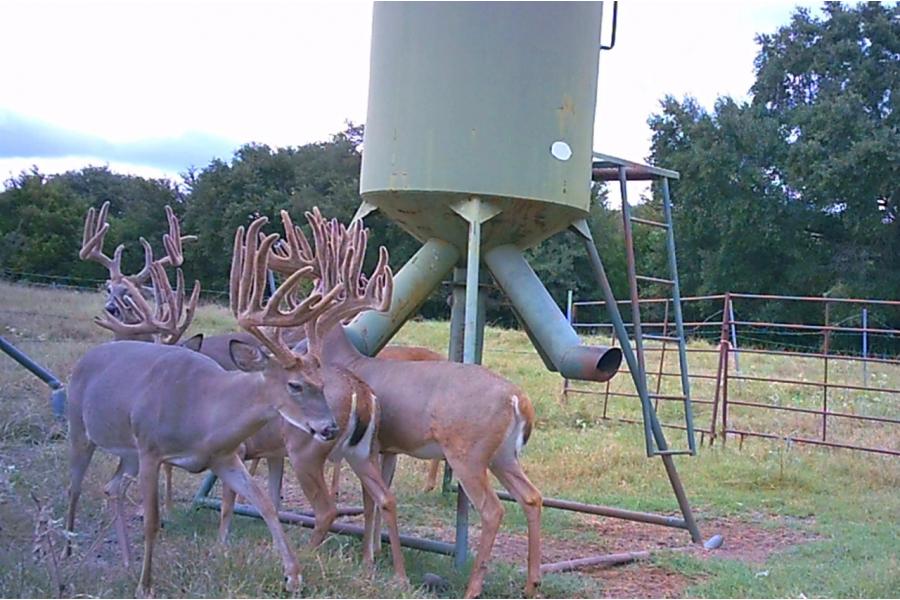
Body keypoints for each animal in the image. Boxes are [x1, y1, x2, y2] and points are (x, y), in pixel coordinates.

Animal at [66, 216, 342, 596]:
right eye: (295, 385)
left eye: (322, 383)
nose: (330, 428)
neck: (203, 413)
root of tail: (87, 357)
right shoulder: (150, 449)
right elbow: (152, 520)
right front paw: (145, 586)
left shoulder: (224, 456)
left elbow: (264, 503)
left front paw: (293, 575)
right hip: (81, 428)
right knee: (74, 486)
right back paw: (68, 550)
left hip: (127, 452)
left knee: (112, 487)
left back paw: (124, 560)